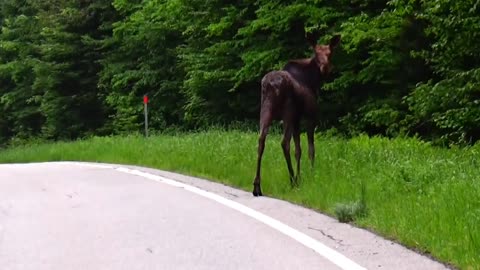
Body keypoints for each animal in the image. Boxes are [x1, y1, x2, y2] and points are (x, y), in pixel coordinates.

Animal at [251, 33, 342, 196]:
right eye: (316, 53)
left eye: (330, 53)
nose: (325, 67)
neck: (314, 81)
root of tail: (270, 85)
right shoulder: (310, 116)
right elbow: (310, 149)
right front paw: (310, 175)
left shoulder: (297, 119)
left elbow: (298, 149)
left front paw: (301, 175)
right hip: (288, 111)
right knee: (284, 142)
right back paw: (292, 180)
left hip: (265, 110)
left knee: (261, 139)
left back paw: (257, 185)